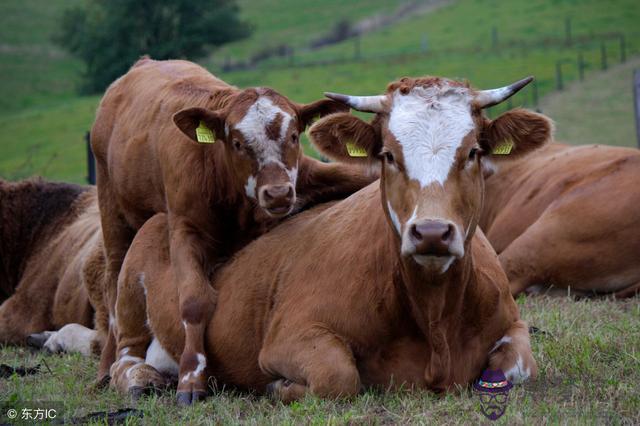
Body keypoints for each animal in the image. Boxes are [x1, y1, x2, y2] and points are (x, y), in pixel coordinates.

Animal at [92, 57, 378, 402]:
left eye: (294, 136)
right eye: (239, 143)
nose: (278, 194)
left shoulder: (308, 176)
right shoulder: (184, 229)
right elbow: (193, 301)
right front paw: (191, 377)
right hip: (113, 212)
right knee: (113, 284)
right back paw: (109, 369)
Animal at [105, 75, 552, 400]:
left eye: (473, 151)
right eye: (388, 155)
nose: (431, 232)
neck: (435, 315)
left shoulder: (512, 326)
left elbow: (518, 367)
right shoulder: (289, 337)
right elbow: (338, 377)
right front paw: (279, 386)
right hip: (132, 285)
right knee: (124, 353)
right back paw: (146, 378)